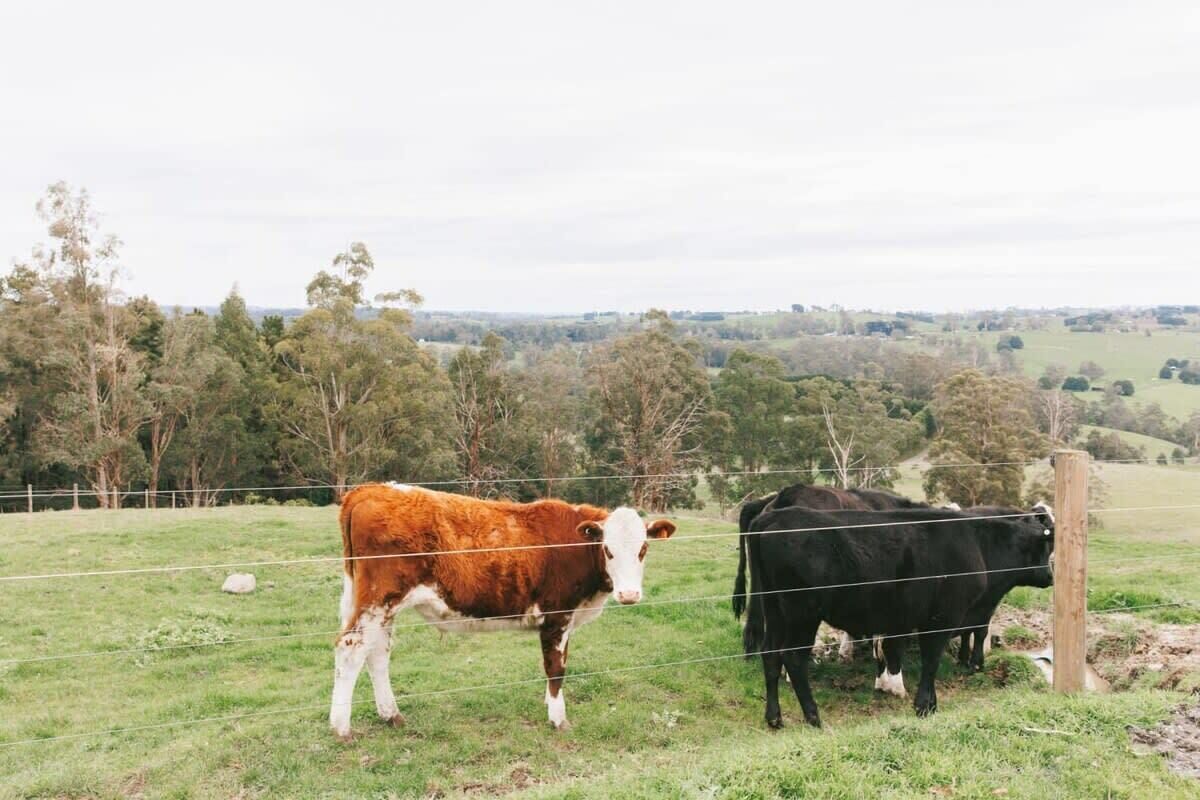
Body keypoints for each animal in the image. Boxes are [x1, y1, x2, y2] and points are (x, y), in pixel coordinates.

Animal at [329, 483, 676, 740]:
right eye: (608, 550)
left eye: (643, 550)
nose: (629, 594)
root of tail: (369, 490)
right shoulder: (557, 615)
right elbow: (556, 667)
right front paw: (558, 719)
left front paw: (550, 703)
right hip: (378, 600)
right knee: (351, 648)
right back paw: (342, 728)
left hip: (379, 605)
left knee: (377, 653)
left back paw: (391, 715)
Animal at [733, 506, 1054, 728]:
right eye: (1046, 547)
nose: (1051, 576)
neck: (977, 543)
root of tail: (771, 519)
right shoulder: (940, 619)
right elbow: (931, 661)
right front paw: (924, 706)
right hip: (802, 615)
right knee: (793, 658)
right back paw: (813, 717)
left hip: (774, 610)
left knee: (770, 655)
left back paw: (774, 717)